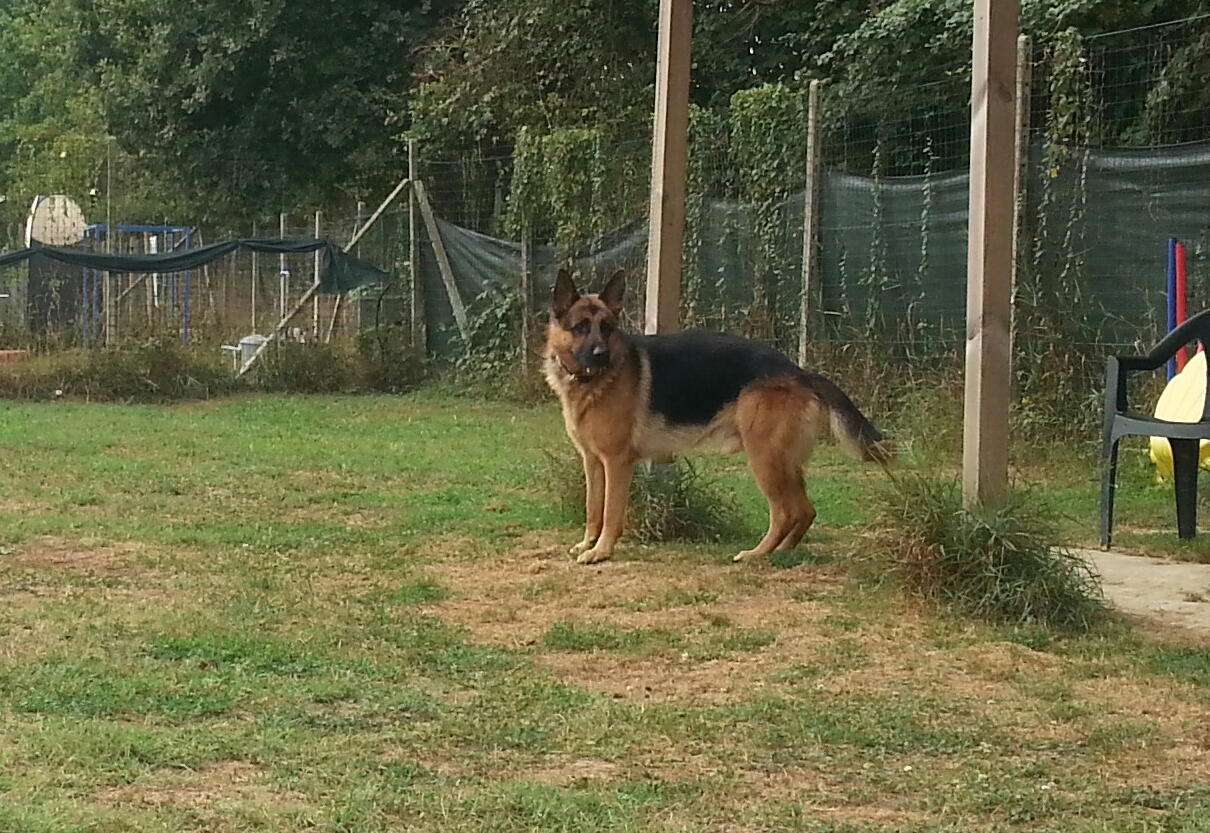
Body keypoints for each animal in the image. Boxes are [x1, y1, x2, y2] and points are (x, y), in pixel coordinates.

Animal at [543, 268, 894, 565]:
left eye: (606, 328)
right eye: (580, 327)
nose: (600, 355)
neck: (592, 382)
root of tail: (799, 372)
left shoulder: (617, 463)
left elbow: (611, 512)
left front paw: (601, 552)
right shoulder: (593, 461)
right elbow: (593, 508)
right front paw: (588, 543)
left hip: (764, 459)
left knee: (786, 512)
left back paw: (756, 554)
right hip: (783, 463)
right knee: (805, 510)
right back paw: (781, 553)